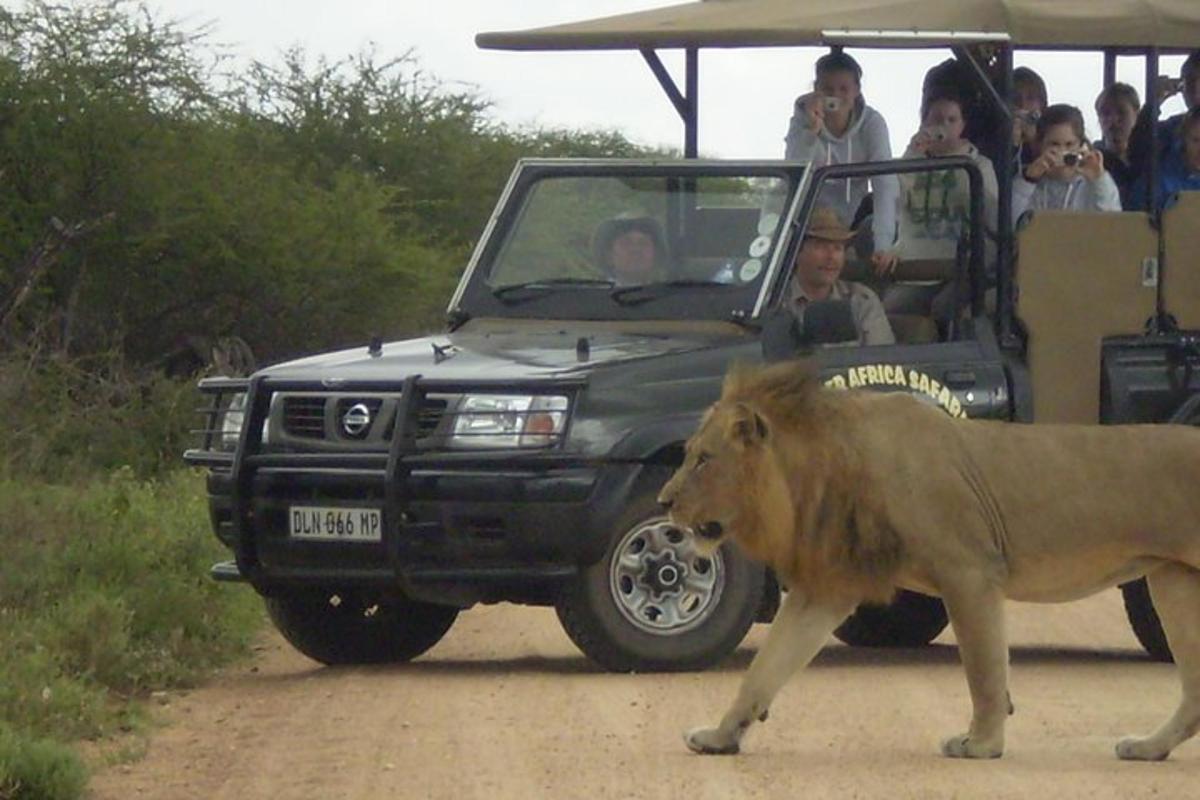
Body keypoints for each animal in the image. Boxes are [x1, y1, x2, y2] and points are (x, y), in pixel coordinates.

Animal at [657, 359, 1200, 762]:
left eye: (703, 459)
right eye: (689, 454)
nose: (663, 501)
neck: (821, 474)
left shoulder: (970, 572)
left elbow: (983, 668)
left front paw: (981, 744)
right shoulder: (828, 587)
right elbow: (765, 669)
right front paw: (720, 738)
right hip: (1174, 583)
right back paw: (1149, 748)